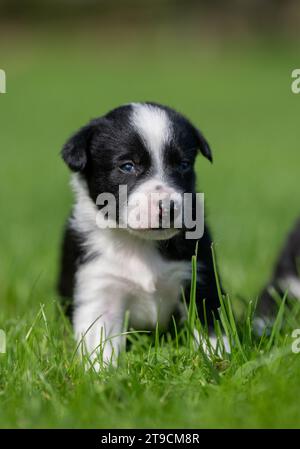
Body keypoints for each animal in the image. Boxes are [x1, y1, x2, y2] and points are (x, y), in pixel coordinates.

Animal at [58, 102, 223, 368]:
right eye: (127, 166)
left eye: (183, 165)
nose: (168, 207)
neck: (140, 243)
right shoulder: (99, 286)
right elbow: (99, 345)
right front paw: (102, 375)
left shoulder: (200, 277)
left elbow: (212, 328)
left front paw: (219, 361)